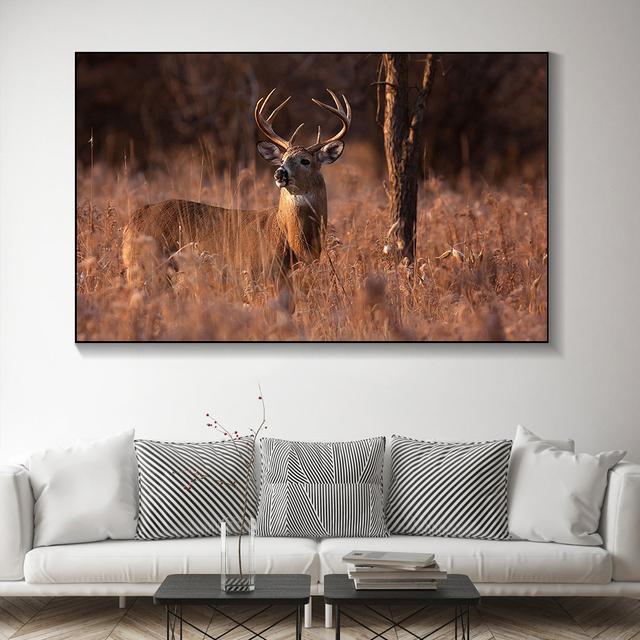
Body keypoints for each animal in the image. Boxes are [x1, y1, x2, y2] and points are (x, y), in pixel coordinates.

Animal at [122, 88, 351, 309]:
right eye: (283, 159)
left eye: (305, 161)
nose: (280, 173)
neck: (291, 242)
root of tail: (132, 220)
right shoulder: (254, 276)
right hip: (145, 268)